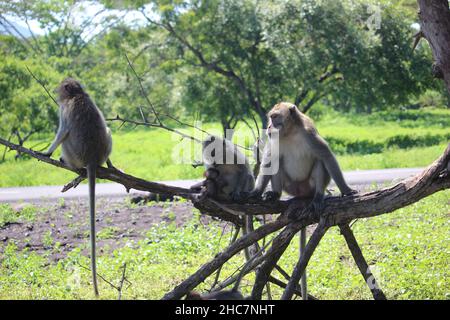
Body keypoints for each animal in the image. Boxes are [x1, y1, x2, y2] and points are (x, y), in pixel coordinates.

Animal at [43, 77, 114, 296]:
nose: (57, 93)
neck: (78, 94)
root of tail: (91, 159)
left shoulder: (64, 109)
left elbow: (61, 132)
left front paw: (47, 152)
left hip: (73, 154)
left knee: (65, 139)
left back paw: (64, 160)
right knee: (109, 131)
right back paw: (108, 164)